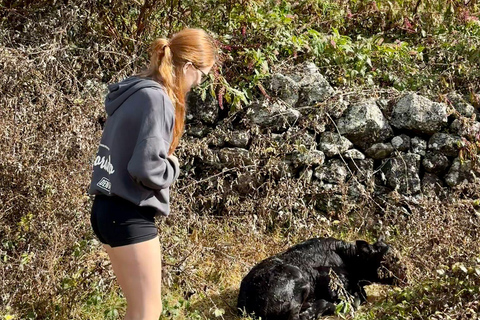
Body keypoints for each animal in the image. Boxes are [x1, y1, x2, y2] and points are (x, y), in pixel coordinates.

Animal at [236, 236, 404, 318]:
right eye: (389, 259)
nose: (406, 276)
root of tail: (245, 305)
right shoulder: (334, 286)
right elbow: (354, 301)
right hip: (299, 280)